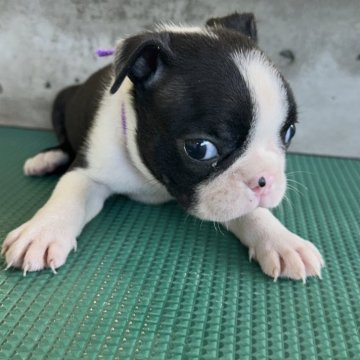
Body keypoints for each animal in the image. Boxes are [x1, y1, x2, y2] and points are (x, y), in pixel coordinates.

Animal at [2, 12, 324, 280]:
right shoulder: (89, 172)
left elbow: (251, 212)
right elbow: (69, 194)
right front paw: (43, 231)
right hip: (60, 100)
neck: (152, 180)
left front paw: (281, 240)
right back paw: (46, 159)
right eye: (200, 149)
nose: (264, 180)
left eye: (290, 132)